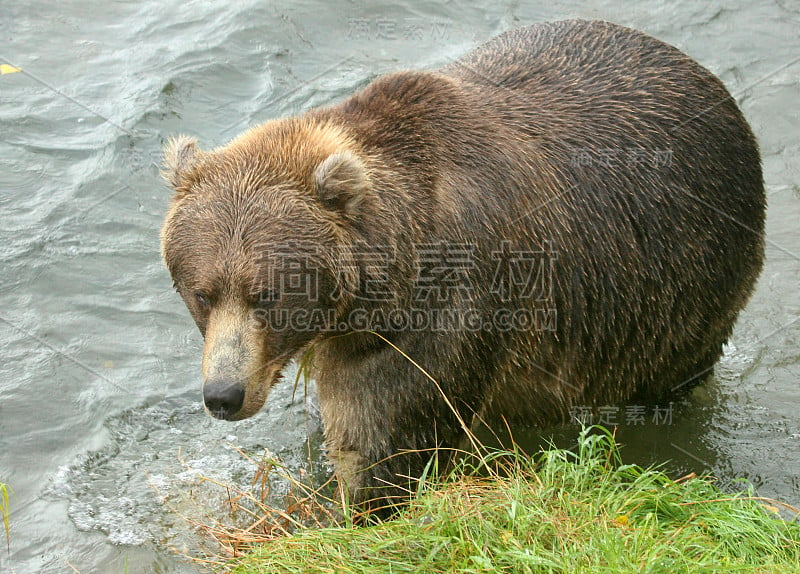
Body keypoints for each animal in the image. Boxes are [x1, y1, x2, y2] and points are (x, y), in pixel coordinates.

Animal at [159, 21, 764, 516]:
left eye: (268, 294)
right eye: (203, 293)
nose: (223, 394)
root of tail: (702, 74)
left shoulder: (439, 314)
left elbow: (387, 441)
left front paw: (349, 506)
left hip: (681, 283)